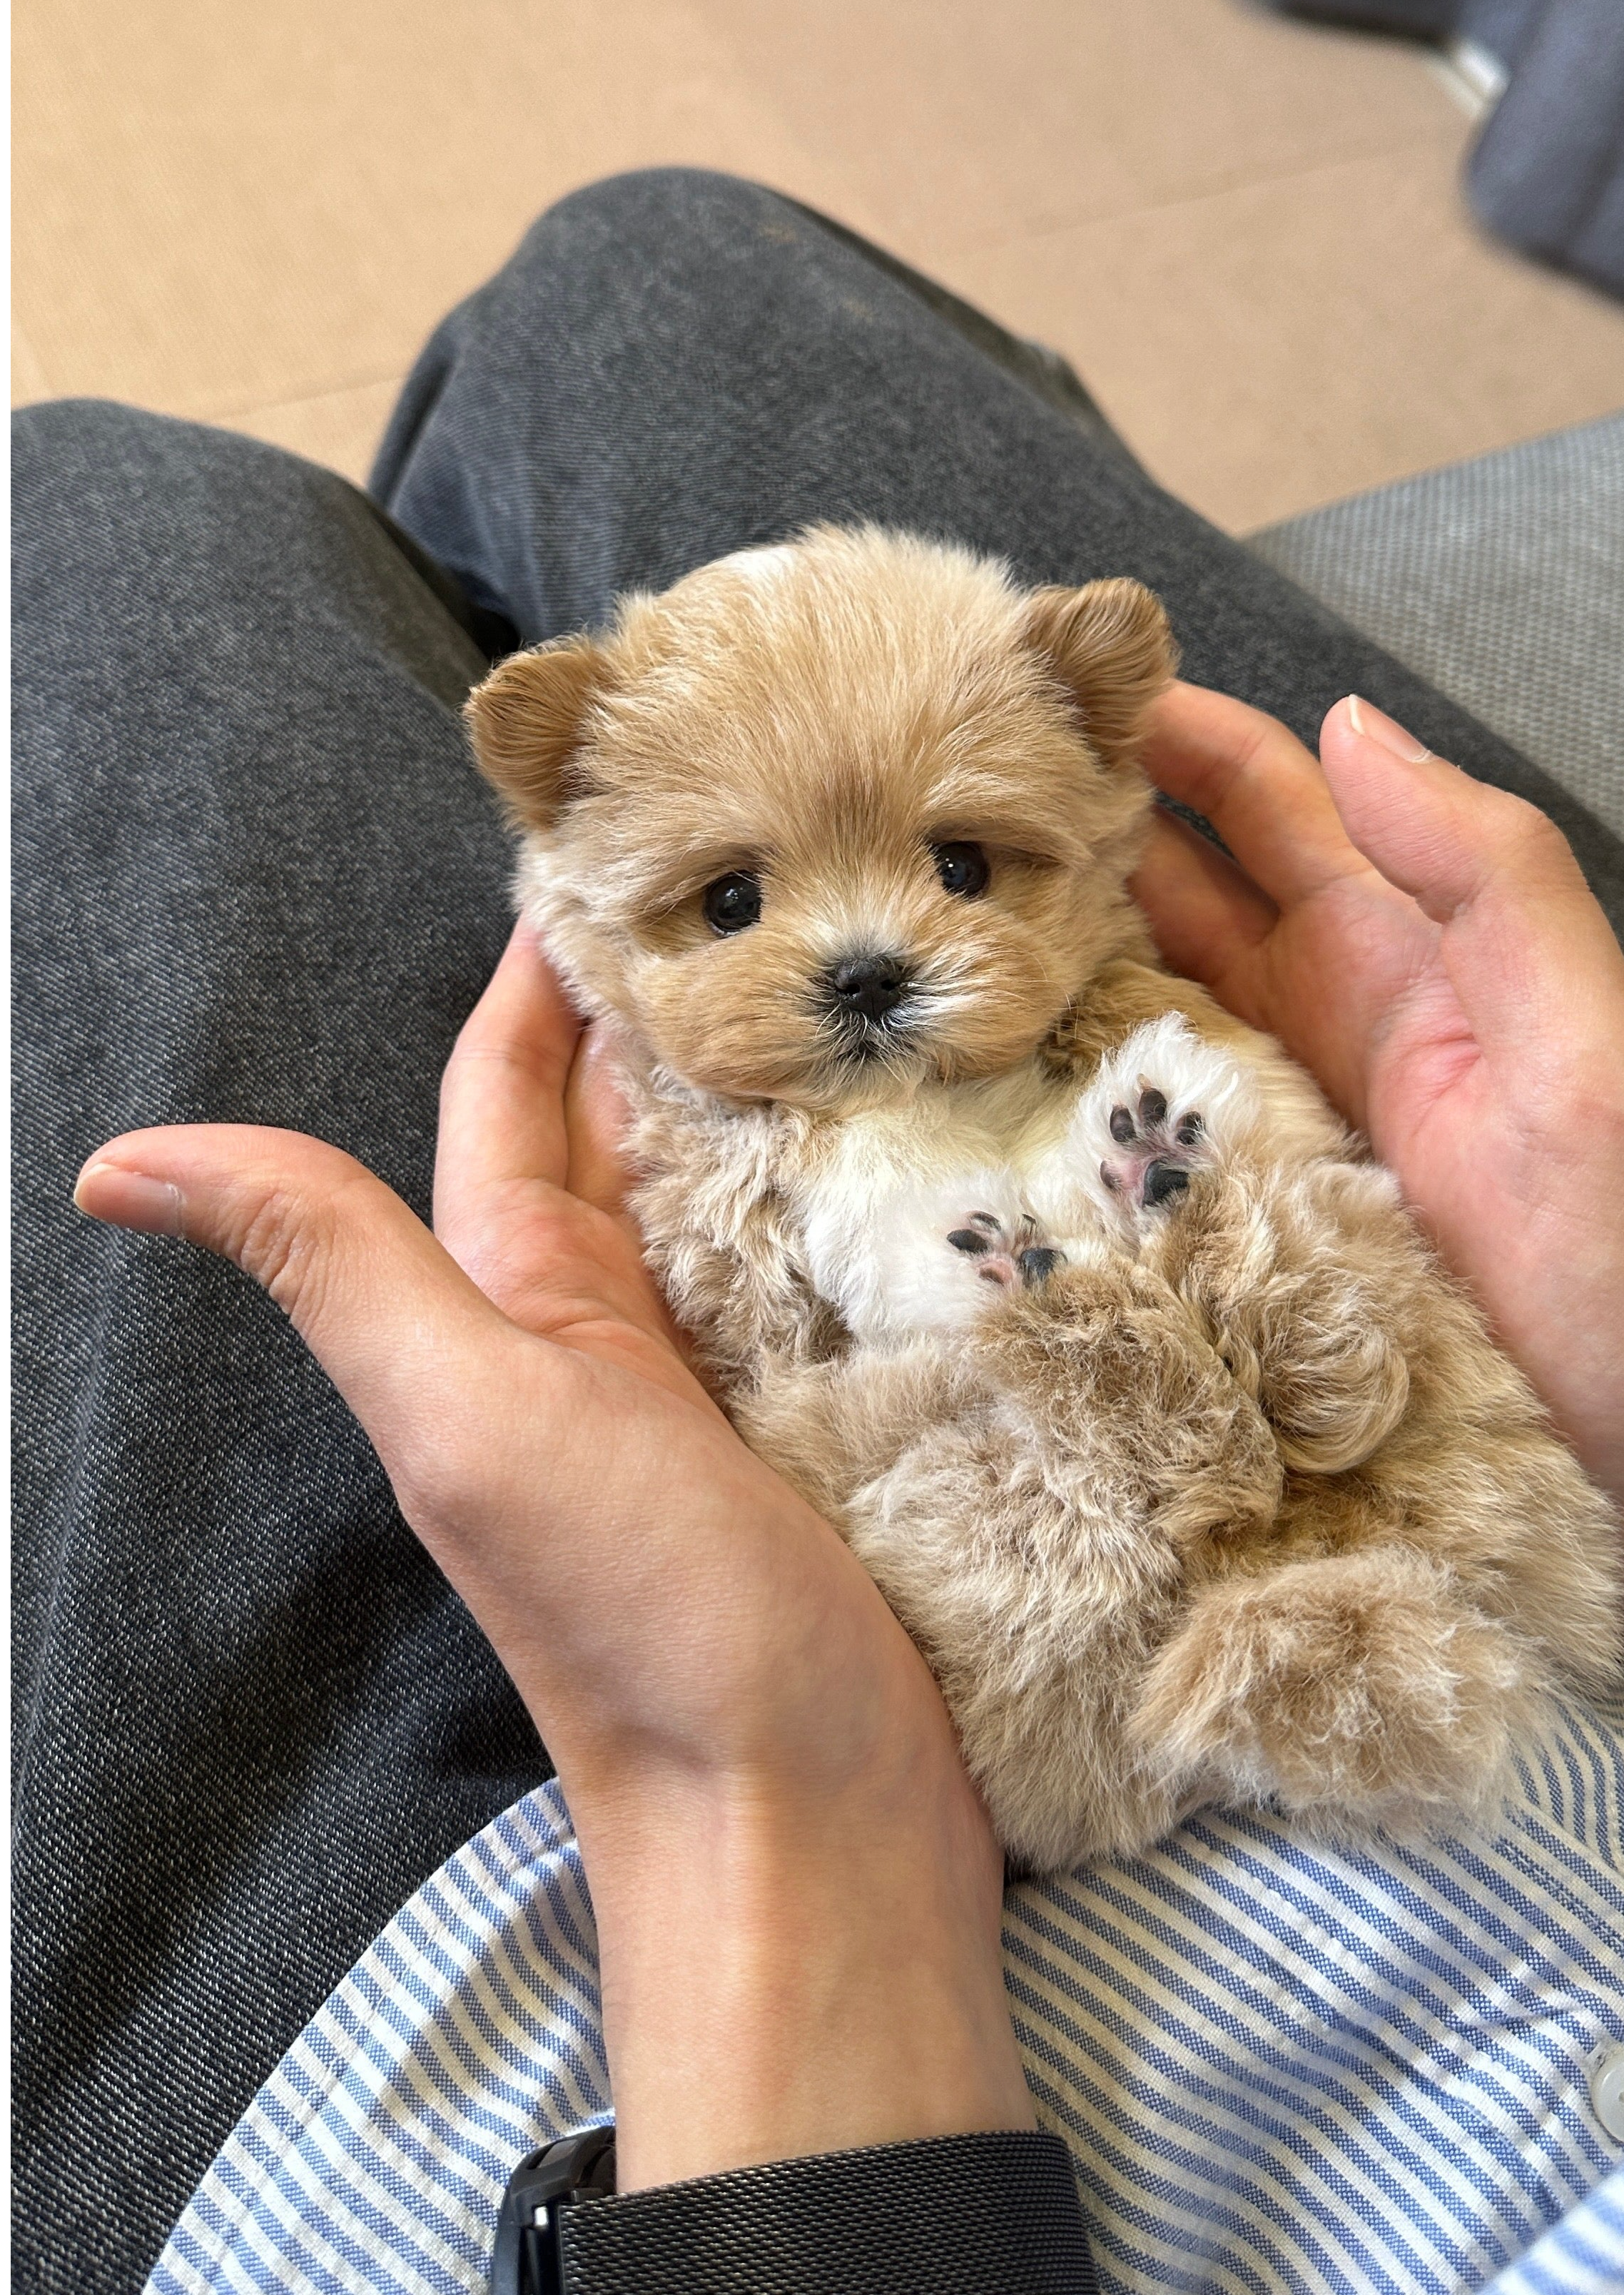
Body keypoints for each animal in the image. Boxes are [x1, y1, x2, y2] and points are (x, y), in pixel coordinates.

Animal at [463, 521, 1615, 1863]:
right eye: (730, 900)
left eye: (962, 865)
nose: (866, 974)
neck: (917, 1088)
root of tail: (1299, 1572)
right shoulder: (751, 1250)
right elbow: (826, 1242)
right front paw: (980, 1221)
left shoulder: (1193, 1043)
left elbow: (1193, 1059)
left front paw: (1143, 1132)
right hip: (977, 1510)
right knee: (1177, 1444)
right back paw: (1065, 1283)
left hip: (1407, 1334)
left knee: (1317, 1355)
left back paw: (1178, 1212)